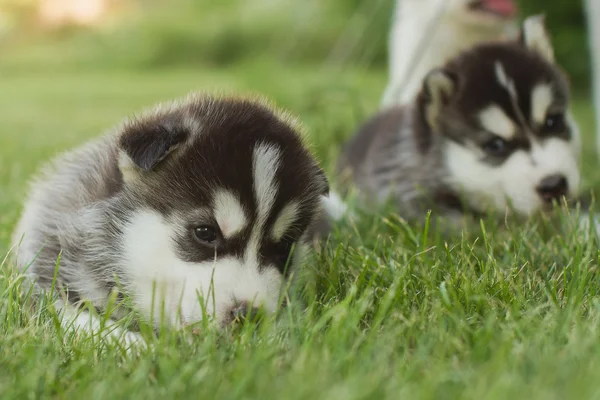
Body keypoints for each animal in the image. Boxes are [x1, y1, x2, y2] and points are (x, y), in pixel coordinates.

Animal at [11, 92, 328, 346]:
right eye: (205, 232)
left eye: (284, 246)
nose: (249, 315)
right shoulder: (41, 279)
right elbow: (76, 318)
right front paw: (138, 348)